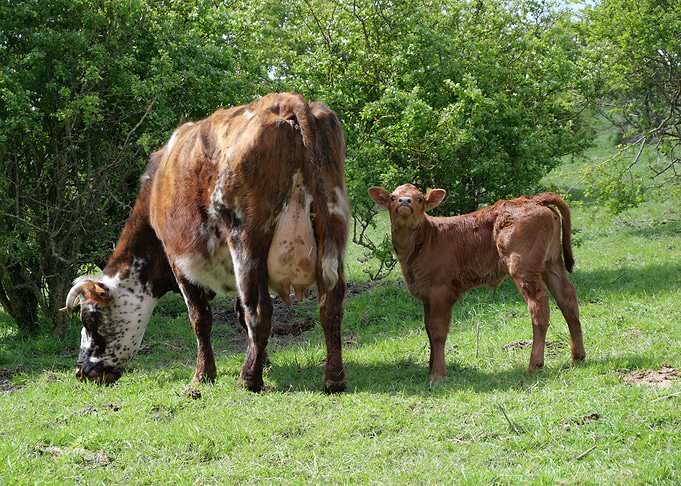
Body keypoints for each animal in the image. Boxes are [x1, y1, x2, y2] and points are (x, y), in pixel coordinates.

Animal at [61, 93, 350, 393]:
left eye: (90, 318)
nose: (81, 370)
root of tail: (284, 101)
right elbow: (238, 315)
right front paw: (265, 361)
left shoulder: (180, 264)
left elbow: (201, 319)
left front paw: (203, 374)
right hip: (333, 227)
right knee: (330, 306)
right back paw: (334, 378)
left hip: (245, 241)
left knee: (259, 311)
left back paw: (248, 379)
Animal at [368, 184, 585, 383]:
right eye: (393, 197)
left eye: (419, 199)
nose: (405, 202)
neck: (422, 243)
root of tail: (533, 199)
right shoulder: (426, 294)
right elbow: (428, 329)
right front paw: (430, 368)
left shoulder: (440, 290)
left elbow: (438, 331)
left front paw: (437, 375)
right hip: (551, 263)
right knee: (567, 299)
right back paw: (578, 357)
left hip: (523, 267)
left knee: (539, 306)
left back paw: (535, 364)